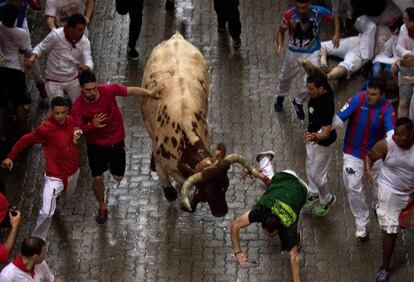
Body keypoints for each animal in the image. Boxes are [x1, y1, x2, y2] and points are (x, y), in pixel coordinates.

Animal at [141, 33, 260, 218]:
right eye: (210, 190)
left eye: (225, 184)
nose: (222, 212)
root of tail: (176, 38)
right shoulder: (164, 167)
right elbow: (170, 191)